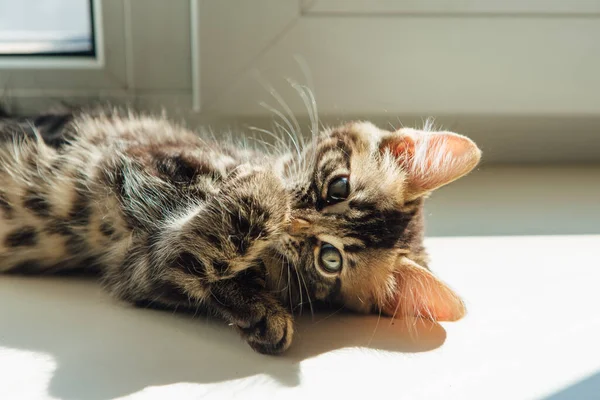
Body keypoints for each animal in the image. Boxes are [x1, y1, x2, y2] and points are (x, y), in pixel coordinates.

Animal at [0, 108, 480, 354]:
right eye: (338, 186)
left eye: (330, 259)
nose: (292, 220)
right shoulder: (135, 157)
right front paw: (265, 192)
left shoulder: (137, 271)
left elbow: (192, 260)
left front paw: (261, 313)